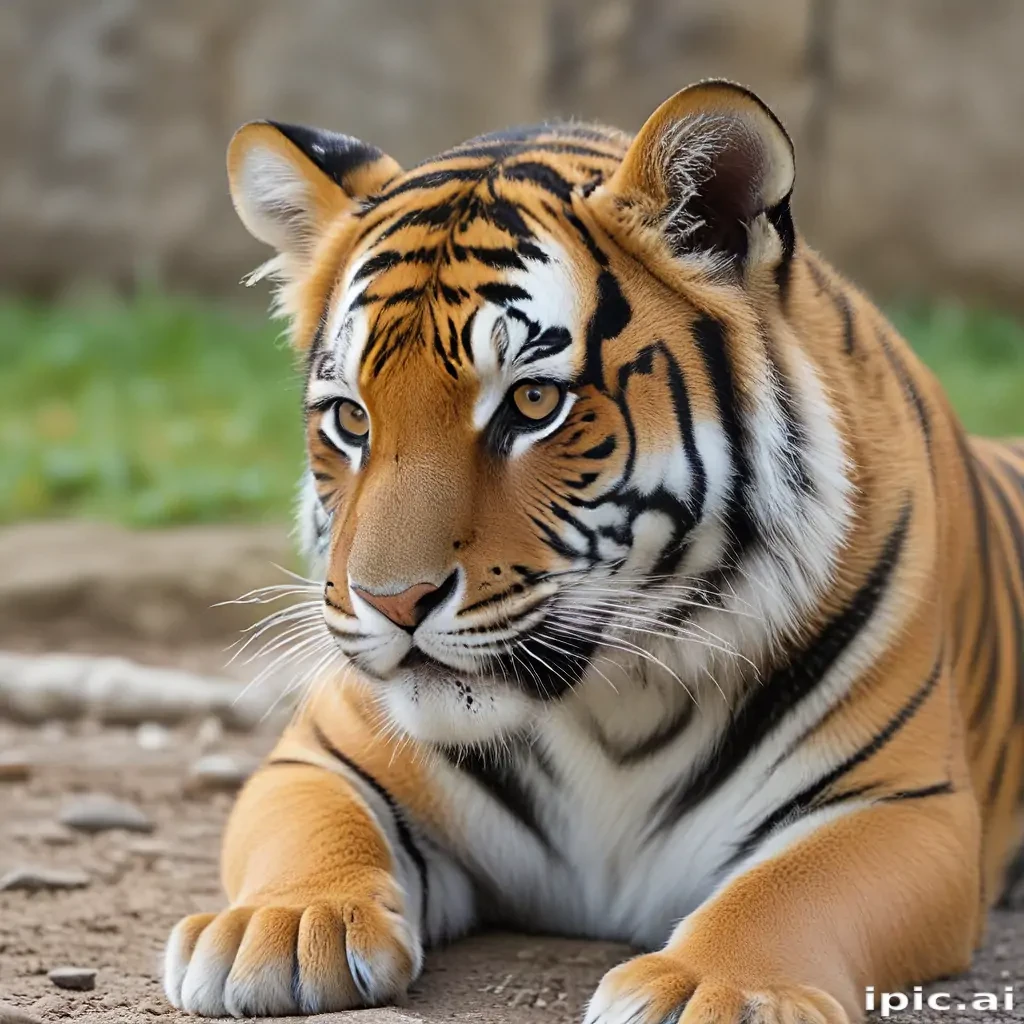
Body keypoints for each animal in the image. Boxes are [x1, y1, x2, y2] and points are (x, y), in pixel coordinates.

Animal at [163, 80, 1024, 1022]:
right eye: (351, 418)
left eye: (533, 403)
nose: (389, 602)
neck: (616, 705)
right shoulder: (320, 756)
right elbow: (314, 823)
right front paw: (283, 925)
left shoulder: (906, 803)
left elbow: (793, 887)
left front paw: (718, 990)